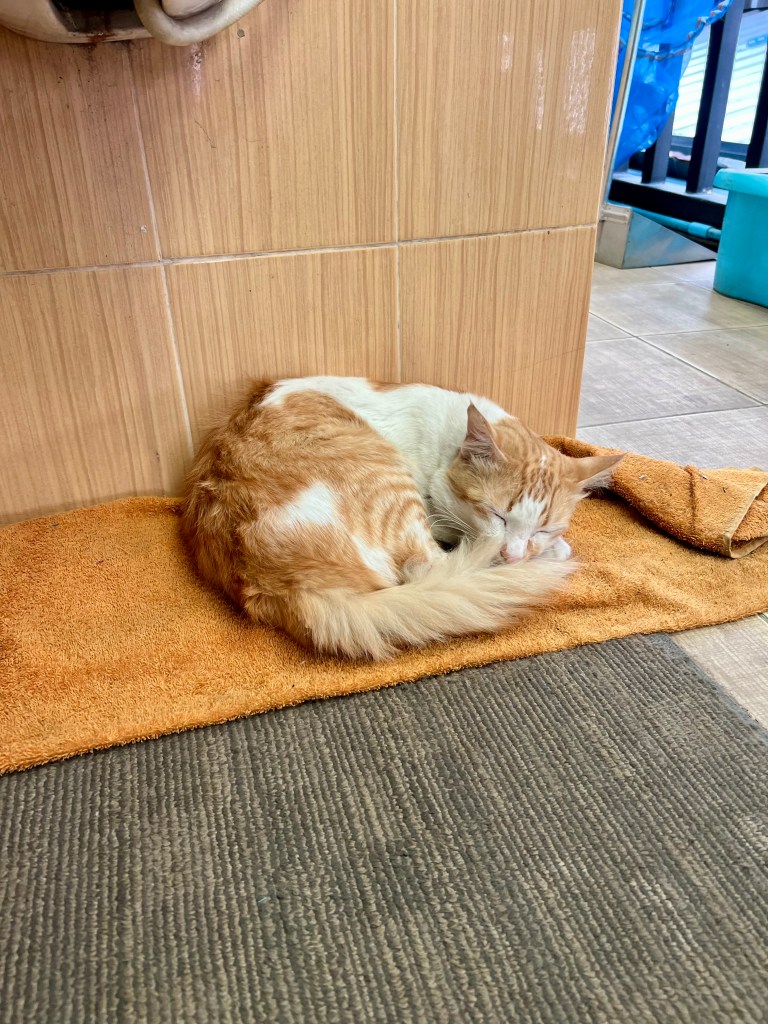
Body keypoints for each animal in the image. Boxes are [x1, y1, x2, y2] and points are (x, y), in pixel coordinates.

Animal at [180, 377, 621, 660]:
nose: (514, 555)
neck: (448, 437)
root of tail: (281, 587)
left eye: (543, 527)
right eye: (497, 515)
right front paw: (550, 553)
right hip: (392, 487)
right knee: (432, 566)